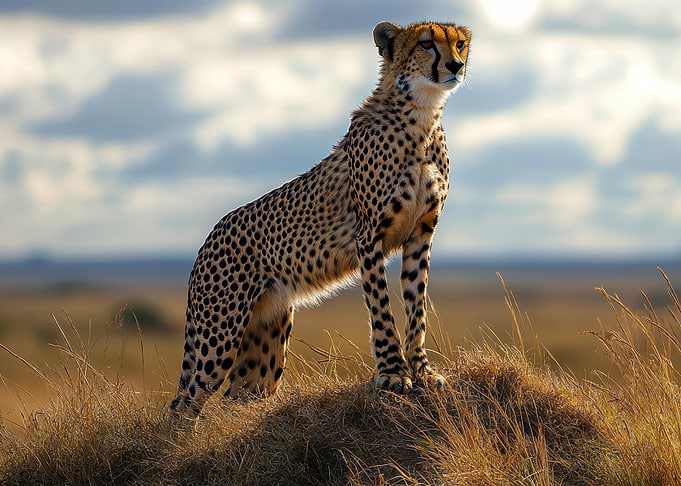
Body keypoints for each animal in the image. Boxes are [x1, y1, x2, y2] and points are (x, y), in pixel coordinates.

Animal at [170, 20, 472, 415]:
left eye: (460, 44)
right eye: (426, 44)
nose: (455, 66)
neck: (422, 114)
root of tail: (208, 239)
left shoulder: (421, 233)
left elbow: (416, 304)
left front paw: (421, 370)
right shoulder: (369, 237)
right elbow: (381, 308)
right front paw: (393, 372)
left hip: (266, 341)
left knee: (238, 398)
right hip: (219, 332)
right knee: (186, 402)